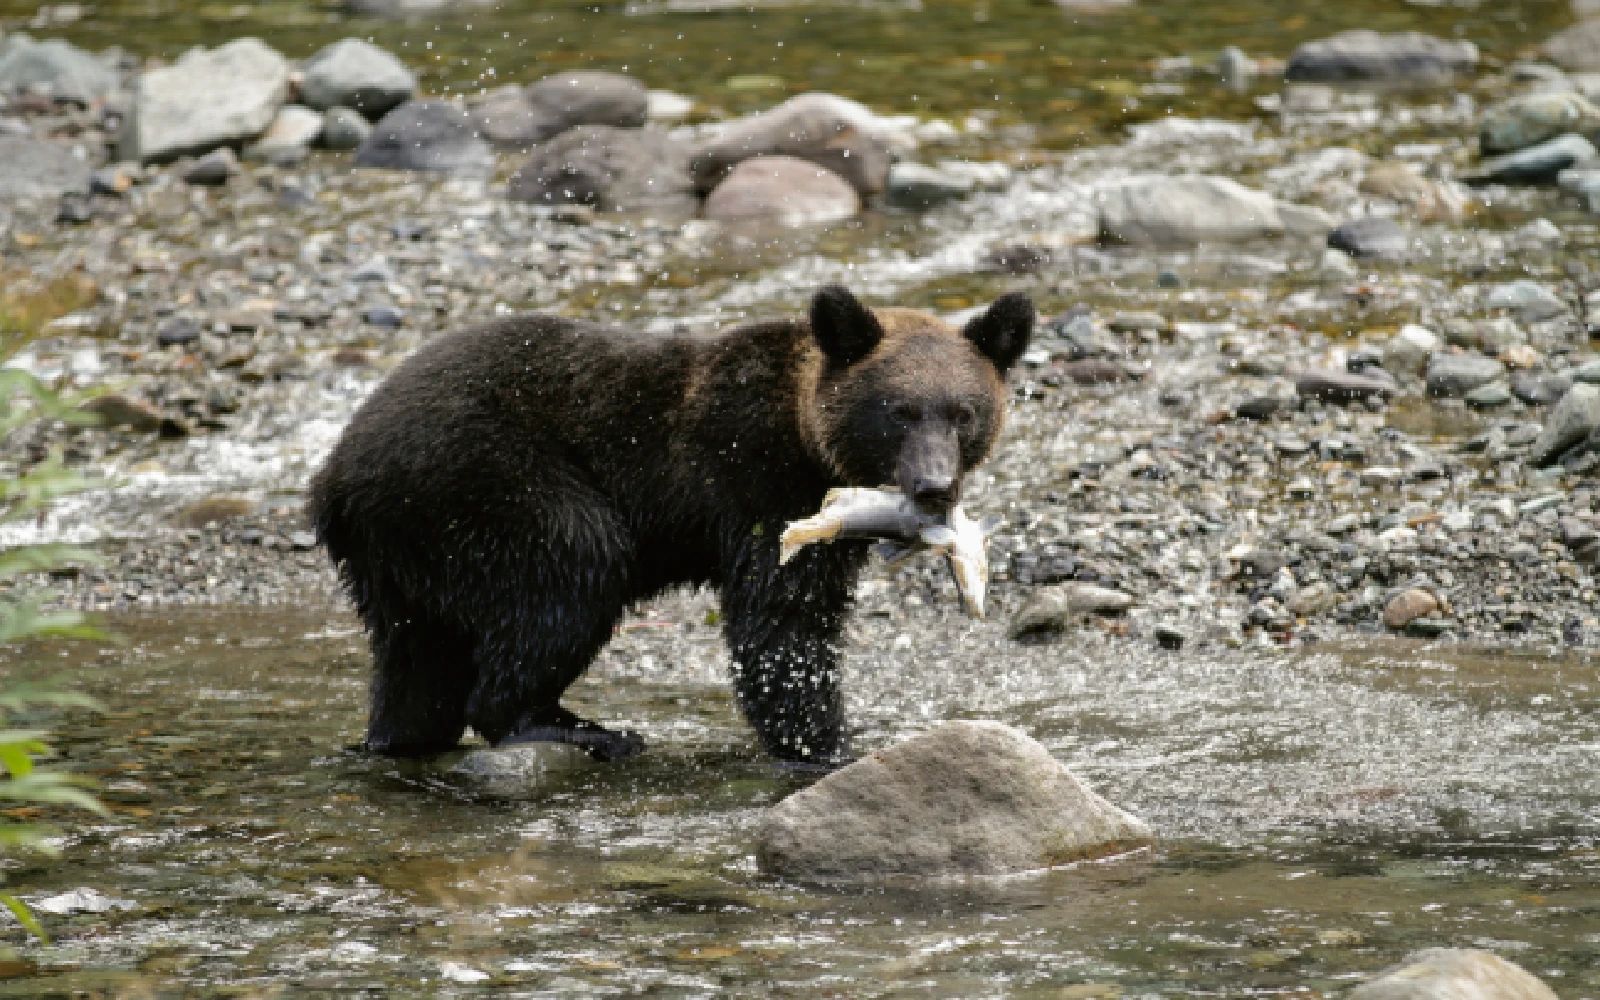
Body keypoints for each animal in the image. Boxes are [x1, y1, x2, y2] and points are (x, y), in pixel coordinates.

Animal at [308, 285, 1033, 766]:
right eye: (899, 411)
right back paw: (574, 727)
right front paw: (824, 740)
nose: (934, 485)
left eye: (963, 412)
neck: (806, 441)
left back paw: (398, 739)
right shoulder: (754, 484)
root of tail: (334, 476)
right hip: (489, 480)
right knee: (572, 569)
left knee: (417, 661)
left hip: (402, 556)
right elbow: (782, 623)